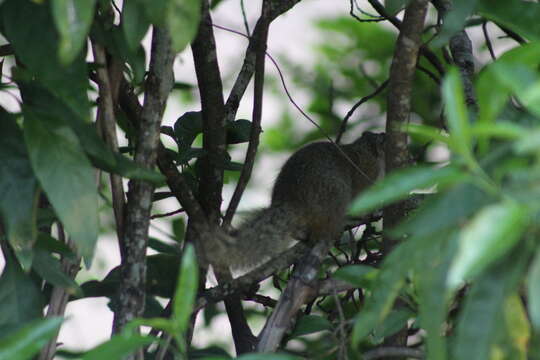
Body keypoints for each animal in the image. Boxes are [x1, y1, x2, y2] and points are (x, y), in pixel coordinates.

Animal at [209, 134, 386, 272]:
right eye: (383, 141)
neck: (363, 149)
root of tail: (292, 201)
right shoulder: (366, 174)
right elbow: (362, 196)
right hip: (332, 194)